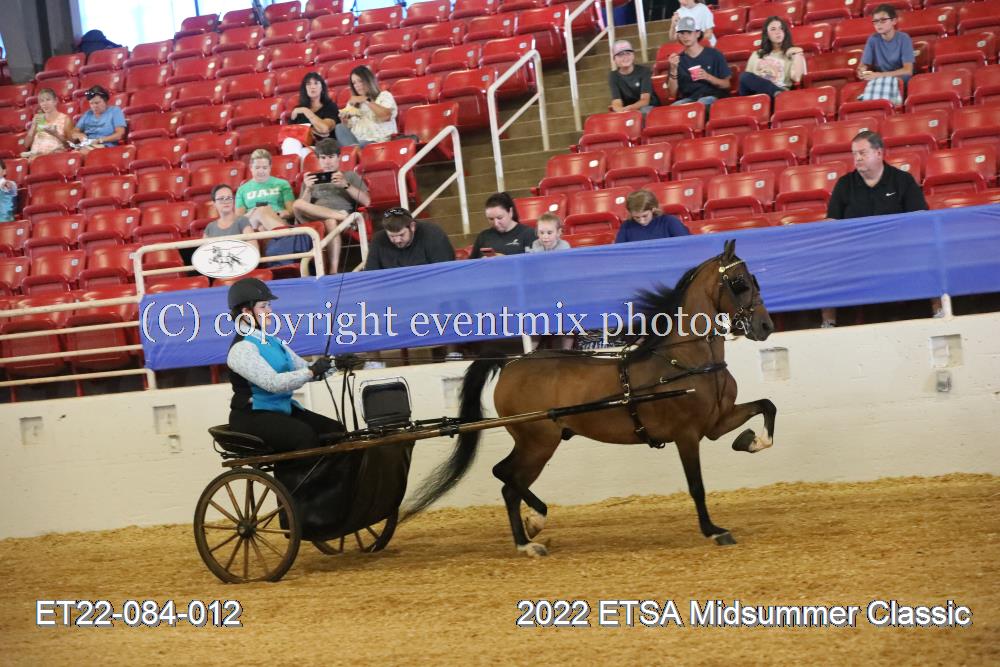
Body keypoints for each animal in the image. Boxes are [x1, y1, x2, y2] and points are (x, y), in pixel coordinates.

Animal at [405, 239, 777, 556]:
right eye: (740, 283)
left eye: (755, 279)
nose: (765, 326)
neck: (683, 361)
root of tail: (511, 364)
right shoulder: (686, 435)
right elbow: (696, 486)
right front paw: (714, 530)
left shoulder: (715, 423)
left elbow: (767, 407)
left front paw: (750, 441)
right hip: (538, 441)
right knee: (506, 476)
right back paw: (533, 526)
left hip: (538, 442)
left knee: (509, 483)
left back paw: (528, 537)